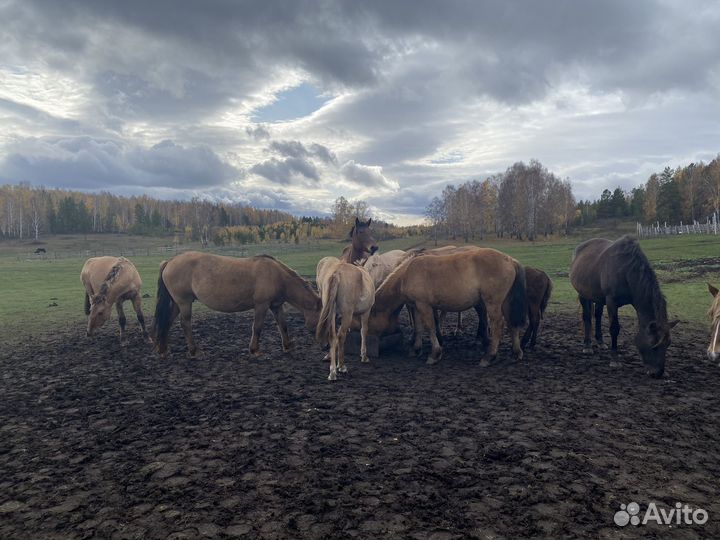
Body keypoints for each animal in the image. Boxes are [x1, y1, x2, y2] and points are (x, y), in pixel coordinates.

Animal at [151, 252, 321, 358]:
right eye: (322, 318)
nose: (322, 342)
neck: (276, 276)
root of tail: (169, 261)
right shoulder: (261, 305)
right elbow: (257, 327)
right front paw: (255, 350)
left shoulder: (276, 306)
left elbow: (283, 326)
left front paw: (288, 346)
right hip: (184, 302)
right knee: (185, 324)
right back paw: (194, 351)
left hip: (177, 303)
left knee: (167, 322)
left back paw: (163, 349)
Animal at [369, 249, 526, 365]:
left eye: (368, 320)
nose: (369, 340)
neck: (407, 274)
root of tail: (510, 260)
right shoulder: (416, 306)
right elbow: (419, 328)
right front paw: (416, 349)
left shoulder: (424, 305)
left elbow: (430, 327)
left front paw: (435, 354)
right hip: (505, 302)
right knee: (511, 324)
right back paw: (516, 353)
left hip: (492, 303)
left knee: (497, 325)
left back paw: (490, 356)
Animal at [569, 235, 678, 378]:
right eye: (653, 344)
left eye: (668, 344)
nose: (658, 373)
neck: (626, 271)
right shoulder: (611, 301)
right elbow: (614, 328)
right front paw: (614, 360)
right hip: (583, 294)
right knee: (587, 317)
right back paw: (587, 346)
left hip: (598, 297)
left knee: (597, 316)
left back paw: (600, 342)